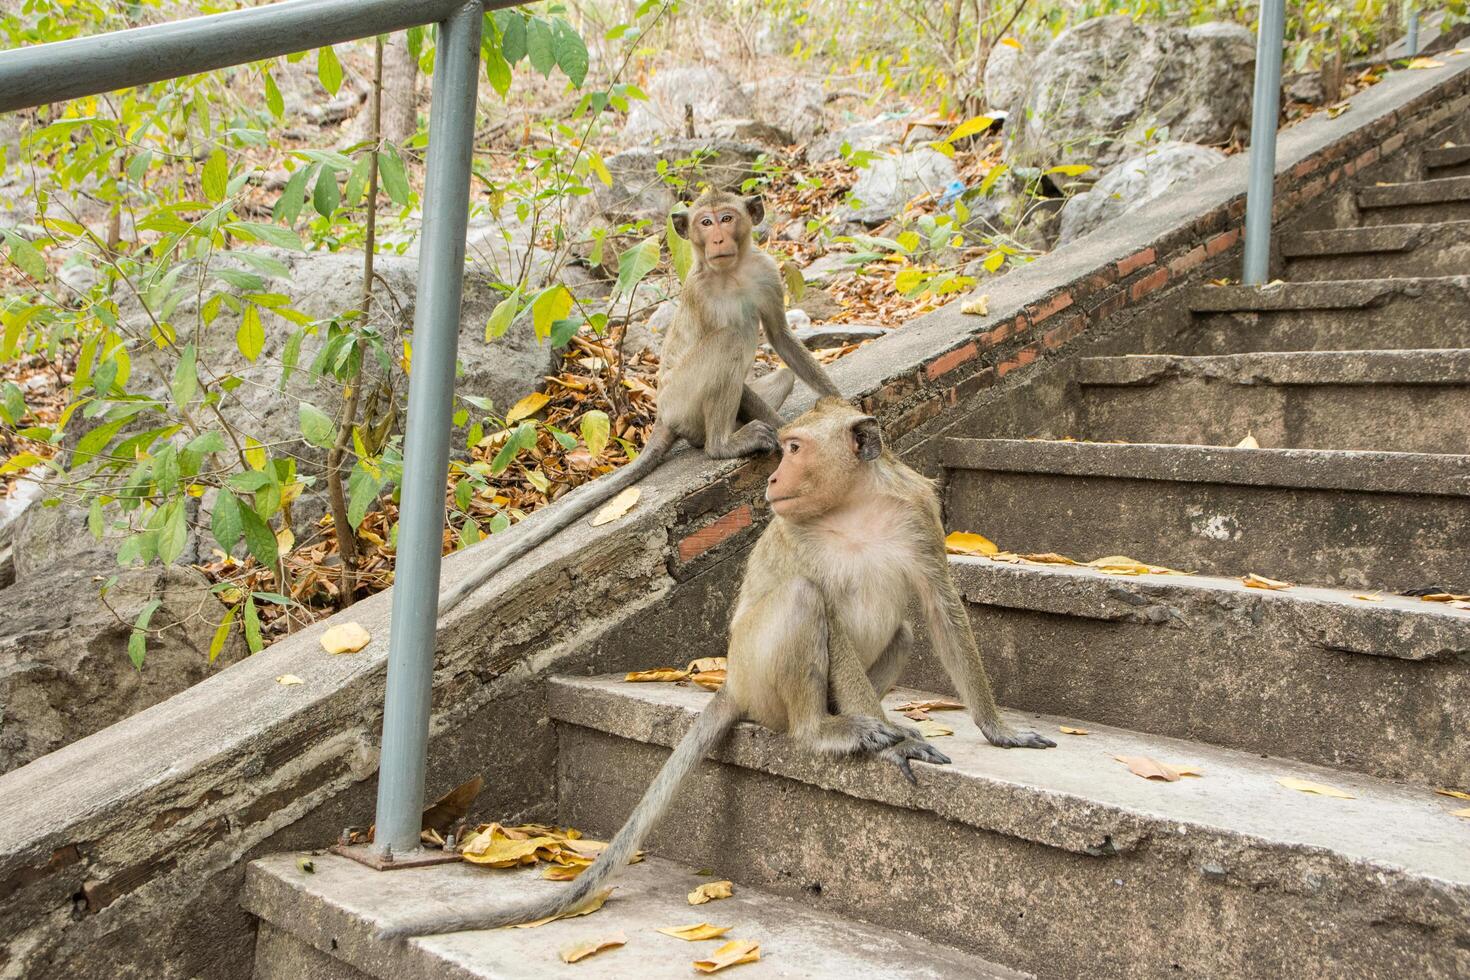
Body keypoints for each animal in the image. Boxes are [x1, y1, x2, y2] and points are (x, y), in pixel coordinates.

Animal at [385, 399, 1058, 940]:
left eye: (795, 448)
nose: (777, 475)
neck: (855, 505)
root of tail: (729, 682)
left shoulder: (918, 513)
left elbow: (941, 610)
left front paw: (997, 729)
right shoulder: (797, 534)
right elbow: (825, 610)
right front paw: (892, 743)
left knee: (905, 630)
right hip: (757, 673)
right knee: (799, 602)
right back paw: (825, 731)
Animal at [435, 189, 840, 617]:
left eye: (727, 218)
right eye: (706, 222)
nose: (717, 239)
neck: (730, 273)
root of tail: (662, 415)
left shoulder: (764, 272)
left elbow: (780, 336)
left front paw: (835, 403)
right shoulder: (701, 297)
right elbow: (731, 343)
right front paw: (783, 435)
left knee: (778, 374)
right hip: (683, 398)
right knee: (729, 340)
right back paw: (722, 444)